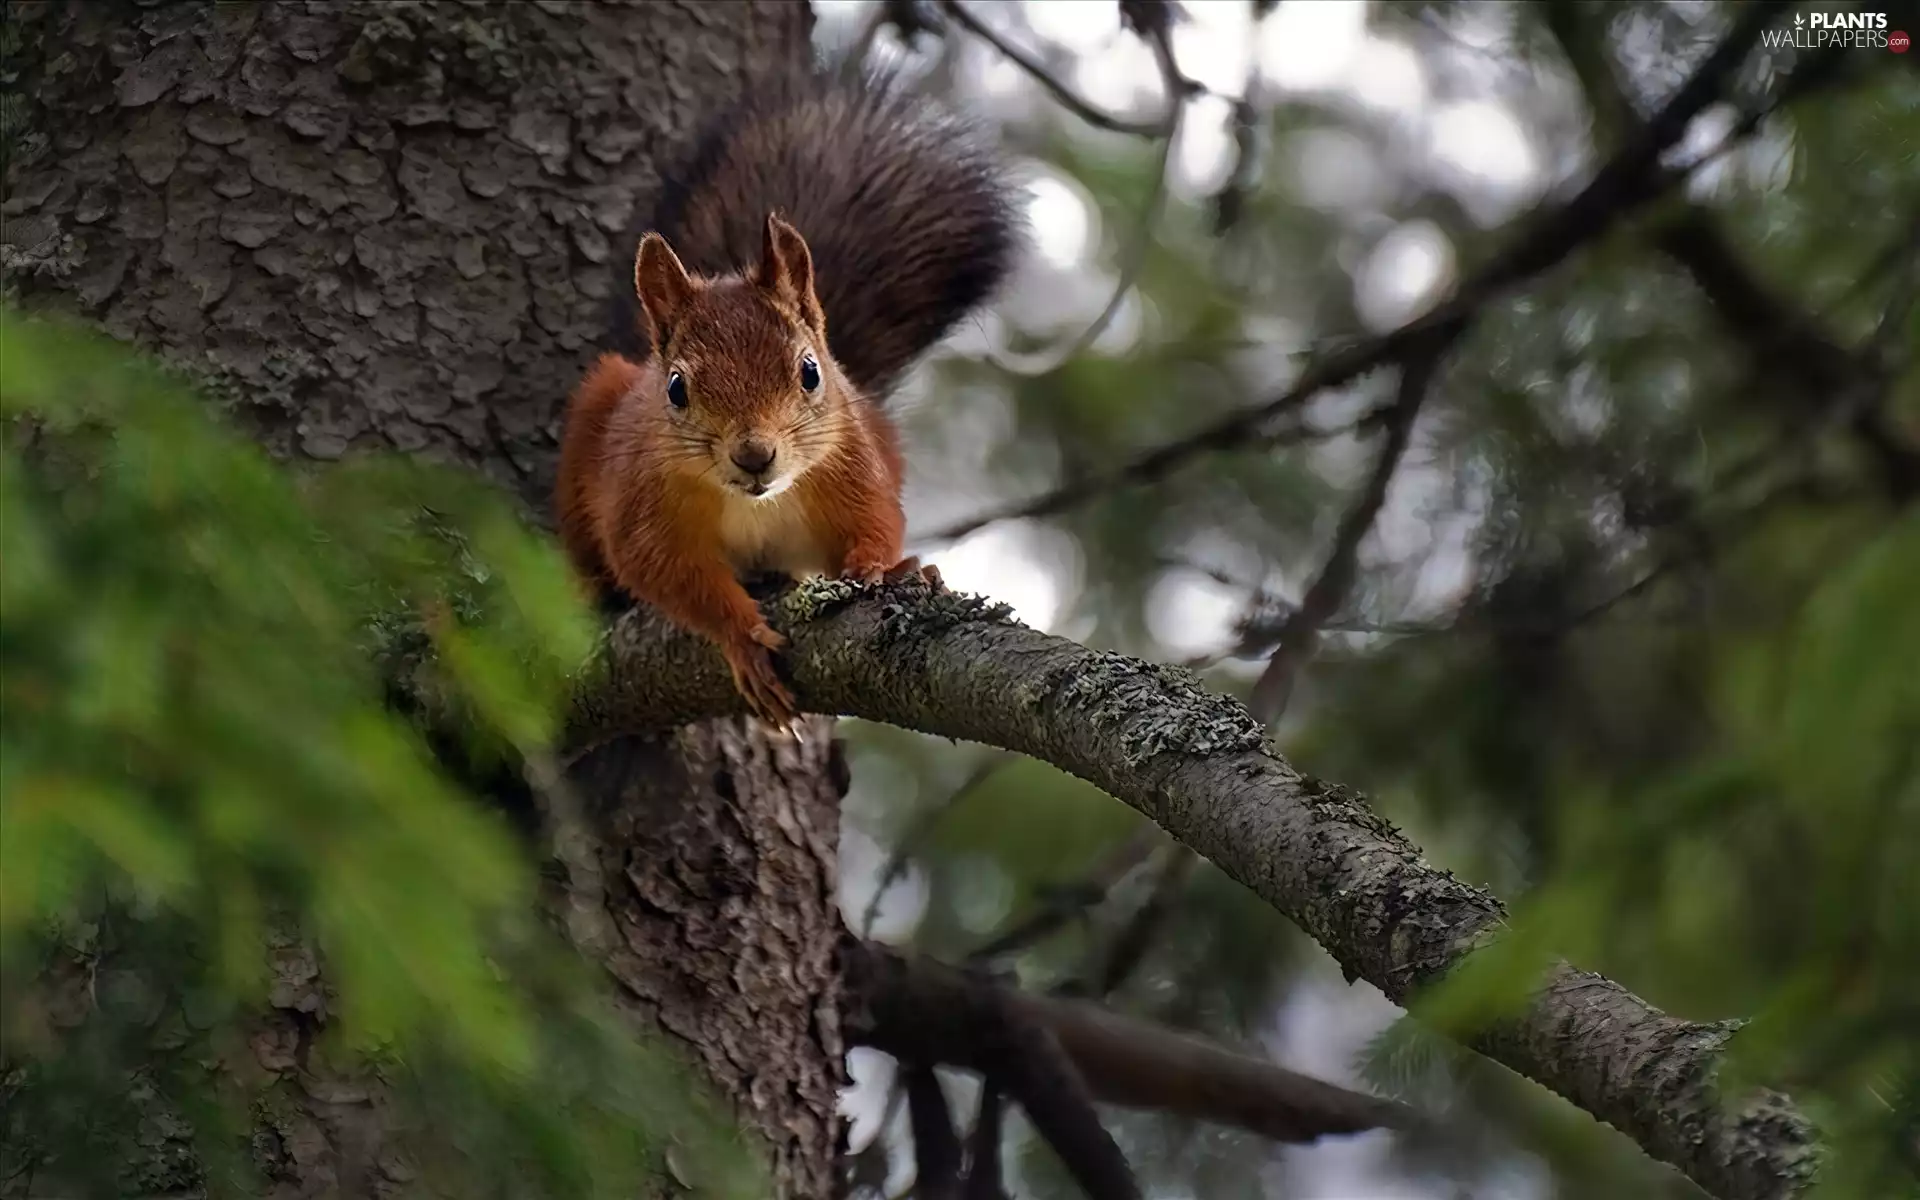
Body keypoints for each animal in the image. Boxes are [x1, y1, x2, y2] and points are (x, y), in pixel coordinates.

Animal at [555, 67, 1023, 732]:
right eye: (676, 388)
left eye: (810, 372)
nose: (754, 456)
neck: (754, 503)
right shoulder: (641, 508)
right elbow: (668, 575)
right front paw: (743, 636)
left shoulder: (852, 466)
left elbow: (879, 521)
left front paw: (885, 567)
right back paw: (589, 586)